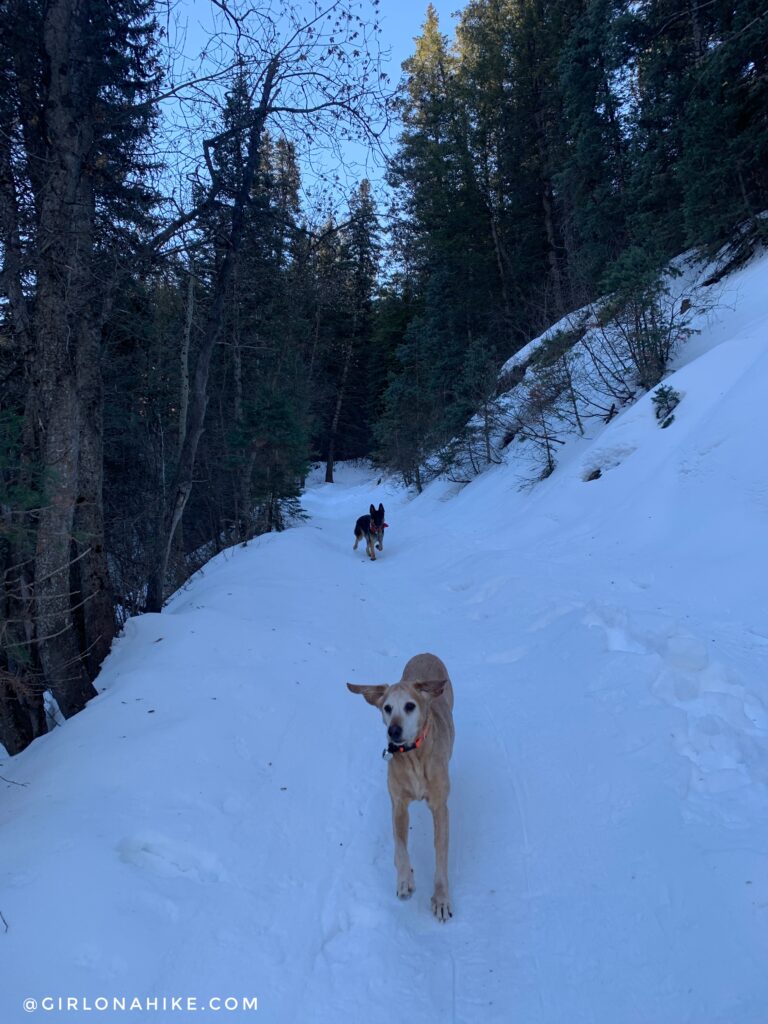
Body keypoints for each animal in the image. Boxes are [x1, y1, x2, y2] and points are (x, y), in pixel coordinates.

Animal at [348, 651, 454, 925]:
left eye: (410, 706)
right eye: (387, 708)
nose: (393, 730)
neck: (414, 755)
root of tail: (425, 653)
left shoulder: (440, 807)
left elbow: (441, 856)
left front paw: (441, 899)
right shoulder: (398, 803)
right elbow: (400, 844)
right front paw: (405, 879)